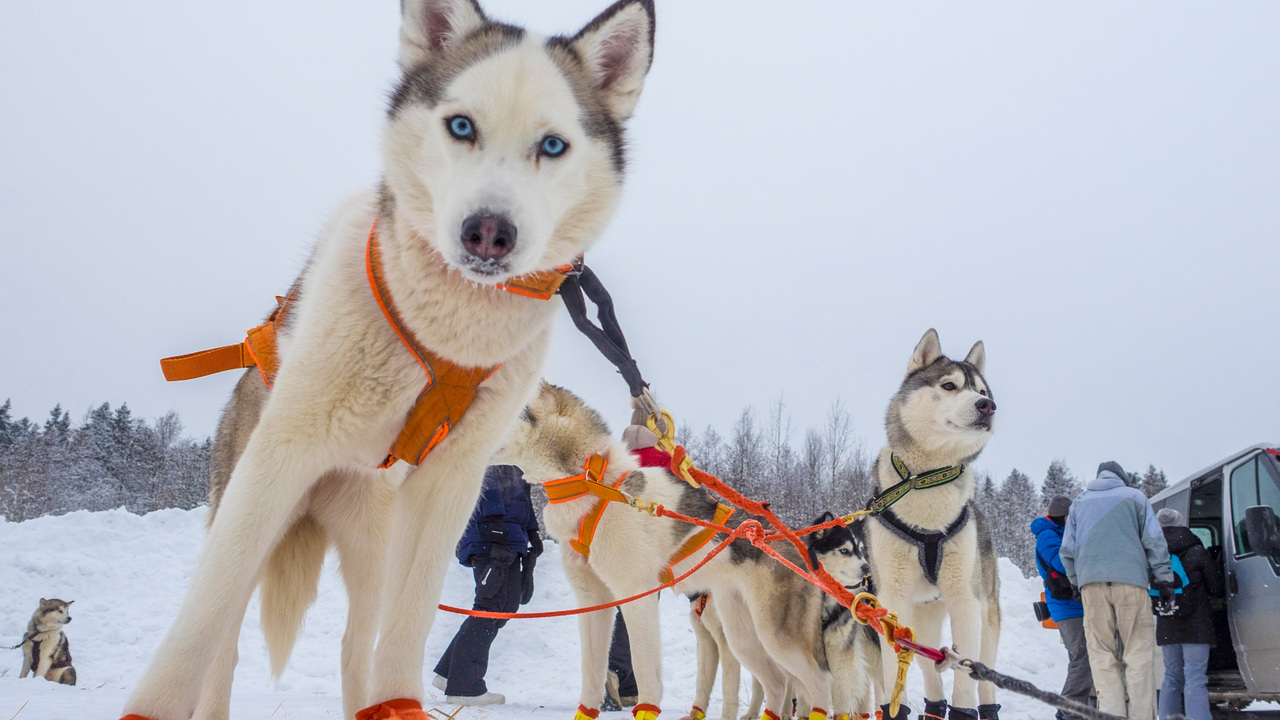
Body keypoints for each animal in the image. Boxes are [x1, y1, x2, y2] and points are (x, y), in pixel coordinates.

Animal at [123, 2, 655, 712]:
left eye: (552, 145)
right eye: (461, 126)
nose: (489, 231)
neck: (451, 330)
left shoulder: (448, 483)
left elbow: (407, 629)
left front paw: (402, 700)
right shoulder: (279, 459)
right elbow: (198, 630)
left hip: (376, 553)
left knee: (360, 648)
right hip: (251, 508)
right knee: (224, 648)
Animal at [496, 384, 880, 717]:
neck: (596, 484)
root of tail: (800, 547)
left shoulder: (636, 597)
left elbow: (647, 678)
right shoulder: (594, 602)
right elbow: (591, 679)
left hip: (779, 638)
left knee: (819, 685)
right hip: (744, 637)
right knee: (777, 684)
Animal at [865, 330, 1003, 717]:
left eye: (982, 391)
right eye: (949, 385)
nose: (988, 406)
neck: (926, 480)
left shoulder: (965, 599)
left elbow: (966, 681)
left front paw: (964, 708)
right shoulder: (892, 596)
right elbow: (890, 670)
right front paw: (894, 707)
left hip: (987, 617)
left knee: (985, 677)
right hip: (921, 617)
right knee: (930, 671)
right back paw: (933, 706)